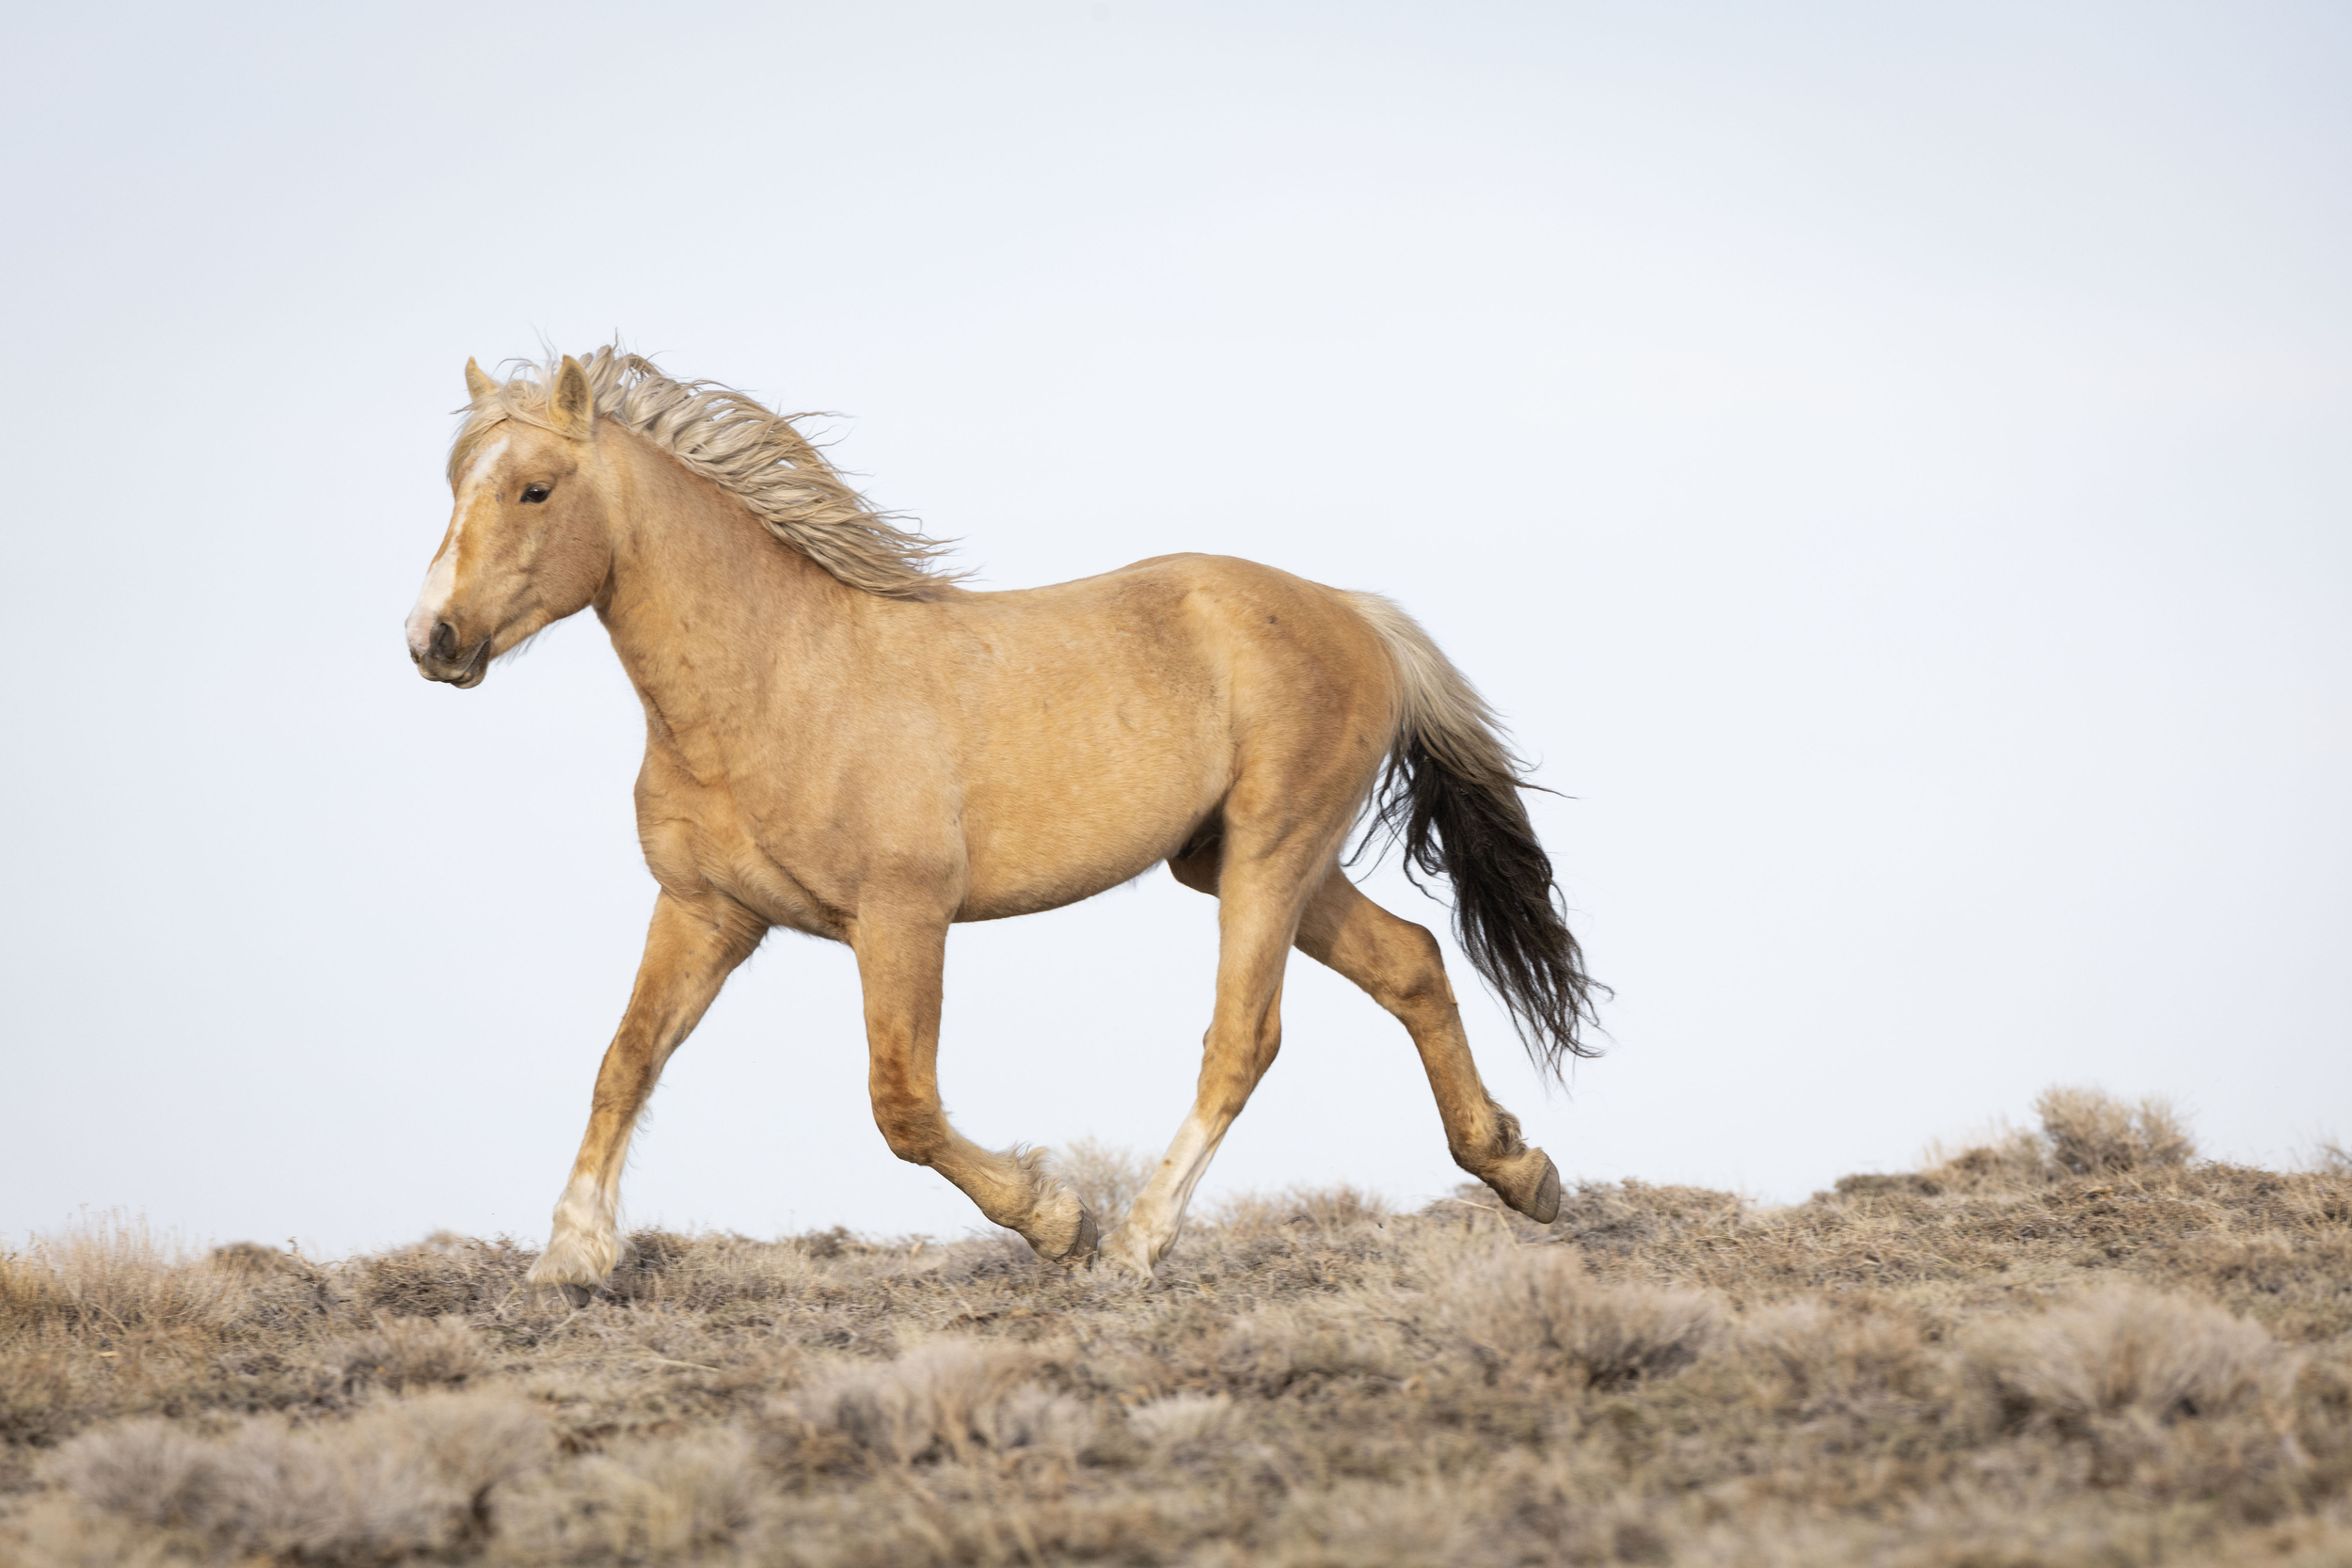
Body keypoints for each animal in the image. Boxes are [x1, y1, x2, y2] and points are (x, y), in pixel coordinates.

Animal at [404, 348, 1601, 1284]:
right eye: (456, 480)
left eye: (536, 489)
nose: (433, 638)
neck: (778, 683)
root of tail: (1352, 610)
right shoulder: (704, 911)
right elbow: (625, 1058)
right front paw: (570, 1254)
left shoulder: (901, 917)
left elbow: (903, 1103)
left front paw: (1059, 1221)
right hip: (1235, 860)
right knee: (1412, 960)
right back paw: (1523, 1171)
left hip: (1273, 850)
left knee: (1242, 1039)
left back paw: (1135, 1244)